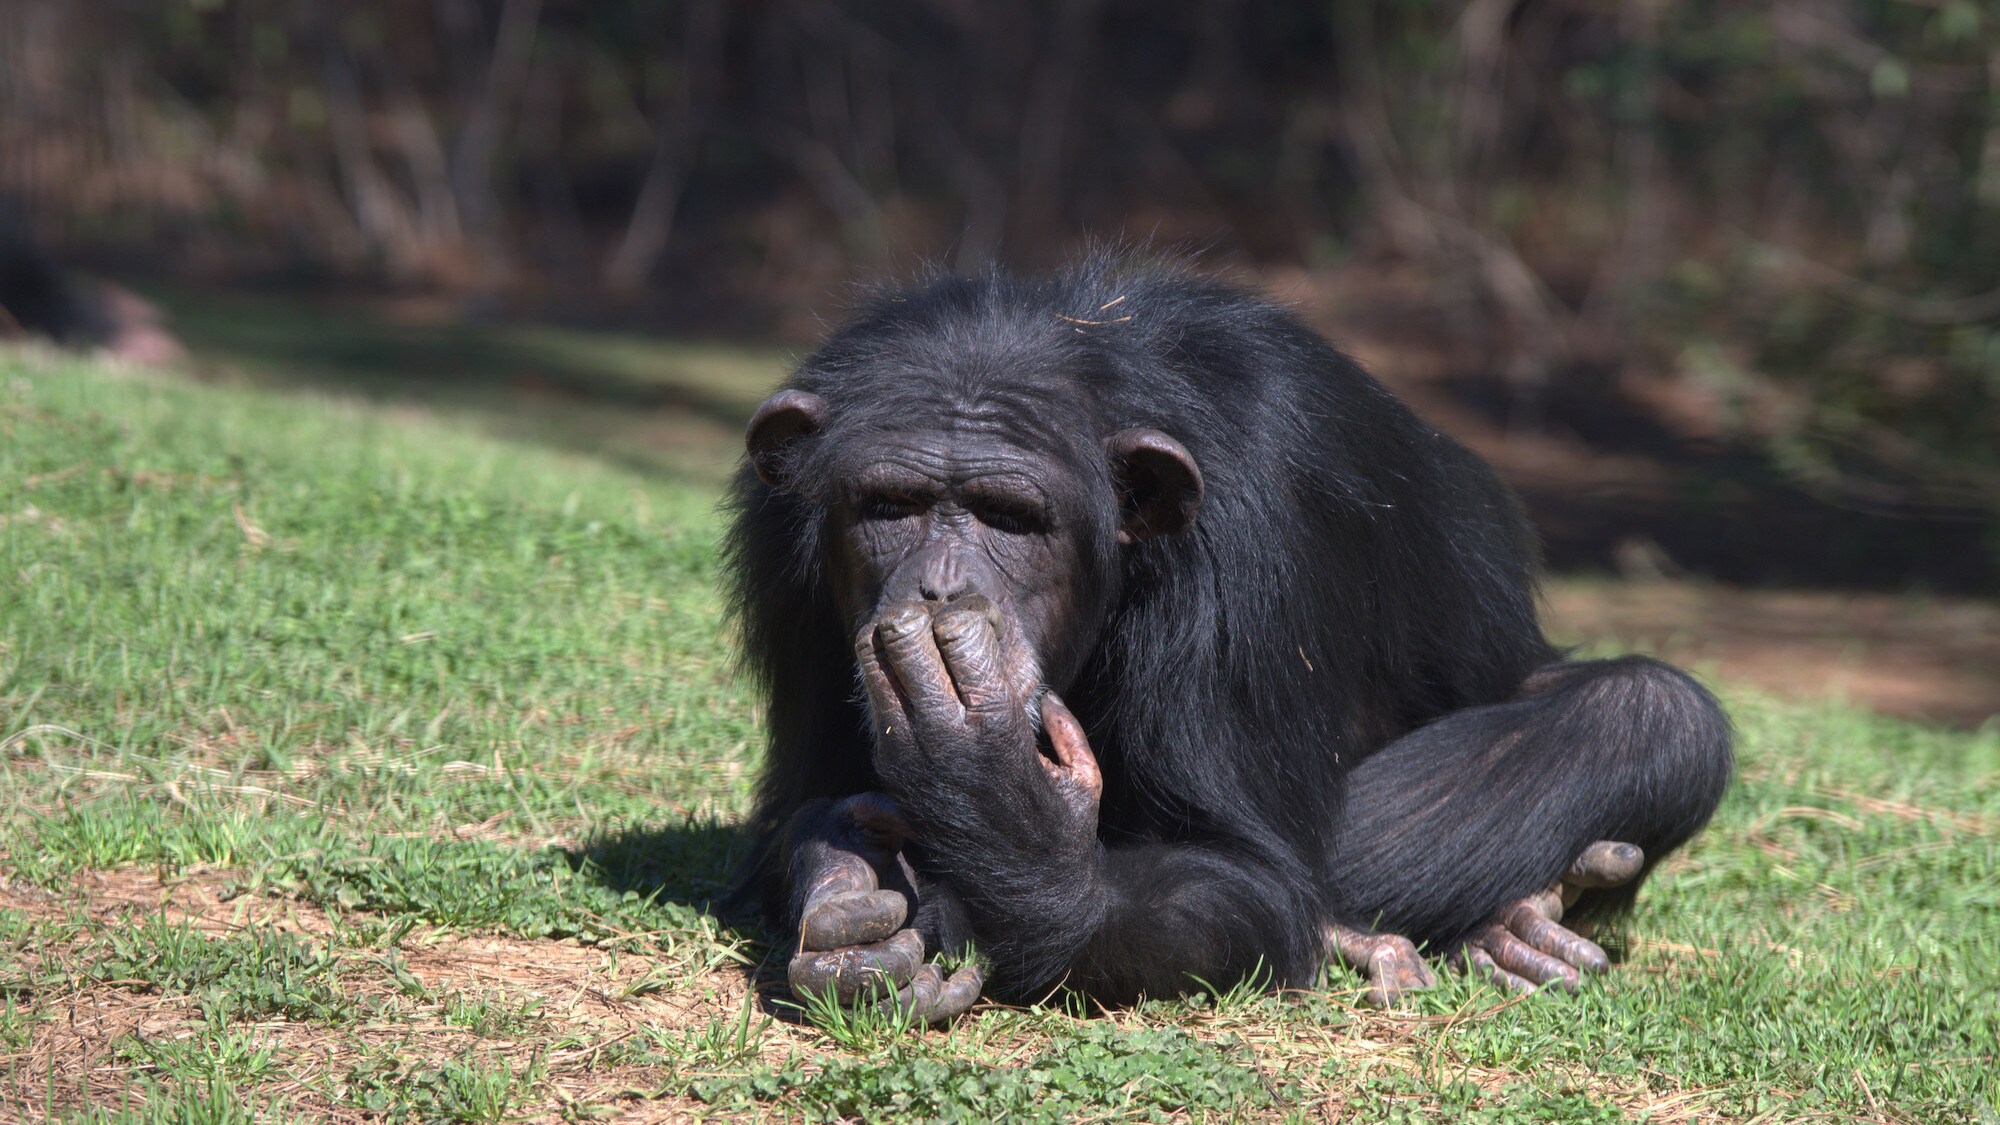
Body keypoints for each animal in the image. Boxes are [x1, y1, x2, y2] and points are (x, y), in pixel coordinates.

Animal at [724, 256, 1736, 1016]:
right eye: (889, 506)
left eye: (1011, 517)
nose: (942, 583)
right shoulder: (783, 540)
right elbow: (810, 804)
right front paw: (855, 914)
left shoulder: (1257, 519)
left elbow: (1247, 871)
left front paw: (1003, 813)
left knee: (1653, 710)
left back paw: (1497, 920)